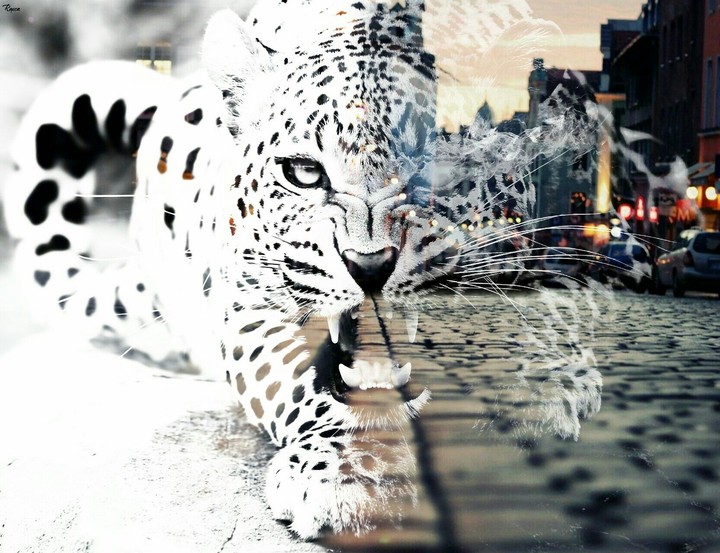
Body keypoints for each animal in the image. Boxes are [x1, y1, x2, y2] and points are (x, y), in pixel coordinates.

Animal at [4, 0, 610, 539]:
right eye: (303, 172)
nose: (369, 266)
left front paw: (554, 386)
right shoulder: (250, 308)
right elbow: (302, 387)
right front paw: (349, 472)